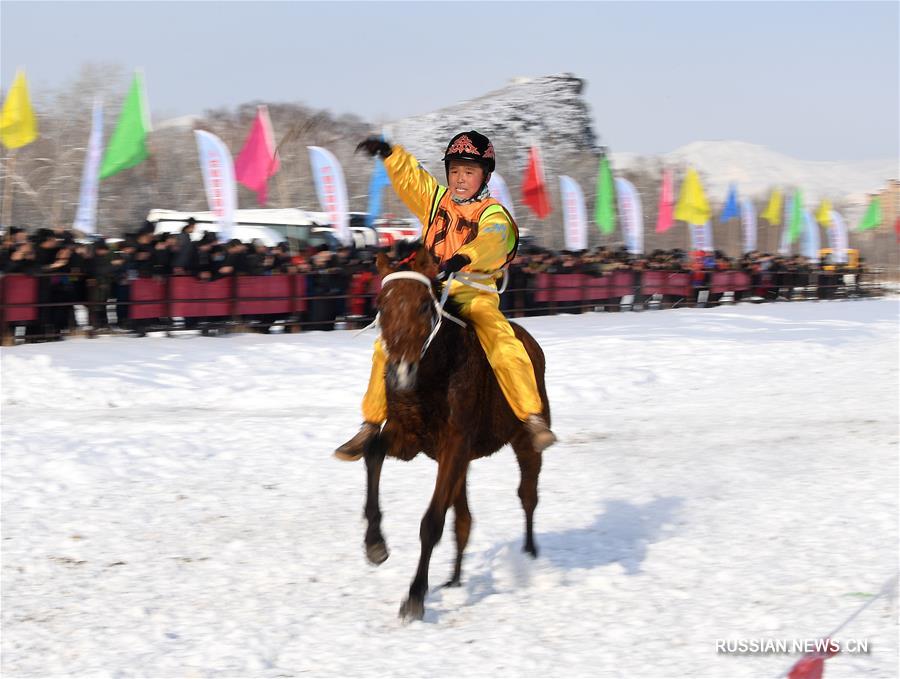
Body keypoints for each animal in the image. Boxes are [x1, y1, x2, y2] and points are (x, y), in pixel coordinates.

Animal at [358, 247, 548, 624]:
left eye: (423, 306)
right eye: (382, 305)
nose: (399, 372)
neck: (433, 375)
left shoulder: (455, 443)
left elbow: (432, 521)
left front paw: (415, 596)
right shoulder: (409, 437)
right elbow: (373, 451)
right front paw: (375, 543)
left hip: (524, 440)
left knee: (528, 495)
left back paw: (530, 553)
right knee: (464, 519)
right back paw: (455, 578)